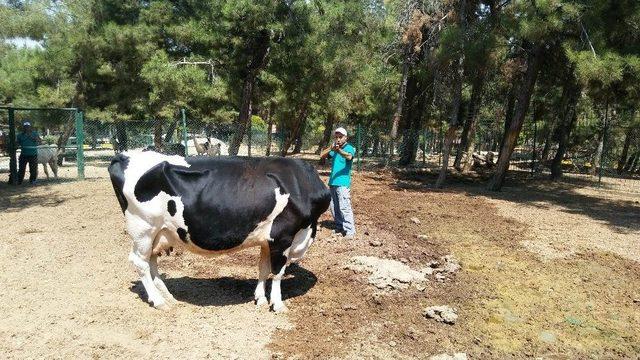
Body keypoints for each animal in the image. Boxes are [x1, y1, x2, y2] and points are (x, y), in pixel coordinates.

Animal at [108, 150, 330, 310]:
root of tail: (125, 155)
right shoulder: (283, 236)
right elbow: (277, 273)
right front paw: (278, 303)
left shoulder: (267, 239)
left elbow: (263, 268)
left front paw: (260, 298)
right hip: (142, 229)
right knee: (140, 262)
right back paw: (159, 301)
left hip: (158, 233)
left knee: (151, 262)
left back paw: (168, 296)